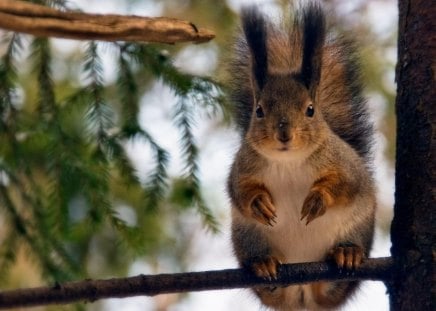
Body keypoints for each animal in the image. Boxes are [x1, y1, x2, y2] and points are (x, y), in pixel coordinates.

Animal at [227, 3, 376, 311]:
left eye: (310, 109)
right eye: (259, 110)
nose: (284, 133)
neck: (289, 162)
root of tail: (303, 293)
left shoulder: (344, 163)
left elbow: (345, 184)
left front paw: (318, 200)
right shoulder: (243, 166)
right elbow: (239, 191)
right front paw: (259, 203)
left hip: (357, 228)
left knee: (333, 288)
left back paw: (346, 254)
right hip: (248, 237)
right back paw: (264, 265)